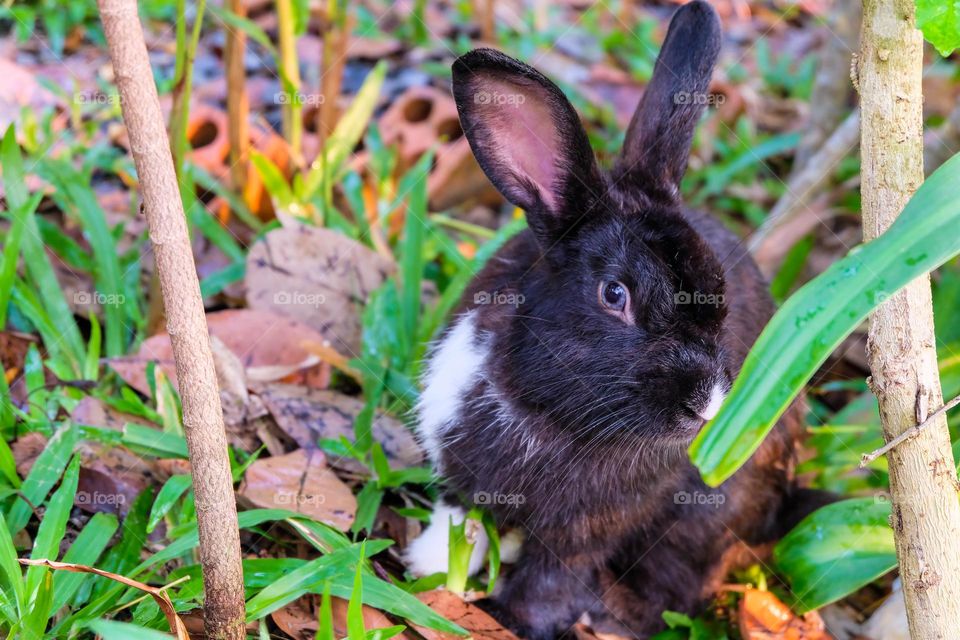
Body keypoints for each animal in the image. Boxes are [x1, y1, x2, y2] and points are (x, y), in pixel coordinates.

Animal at [405, 2, 831, 638]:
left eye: (720, 290)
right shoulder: (463, 475)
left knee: (679, 584)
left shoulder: (586, 533)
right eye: (614, 294)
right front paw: (427, 571)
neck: (551, 415)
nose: (707, 404)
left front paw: (515, 620)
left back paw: (615, 611)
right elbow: (460, 523)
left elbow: (553, 580)